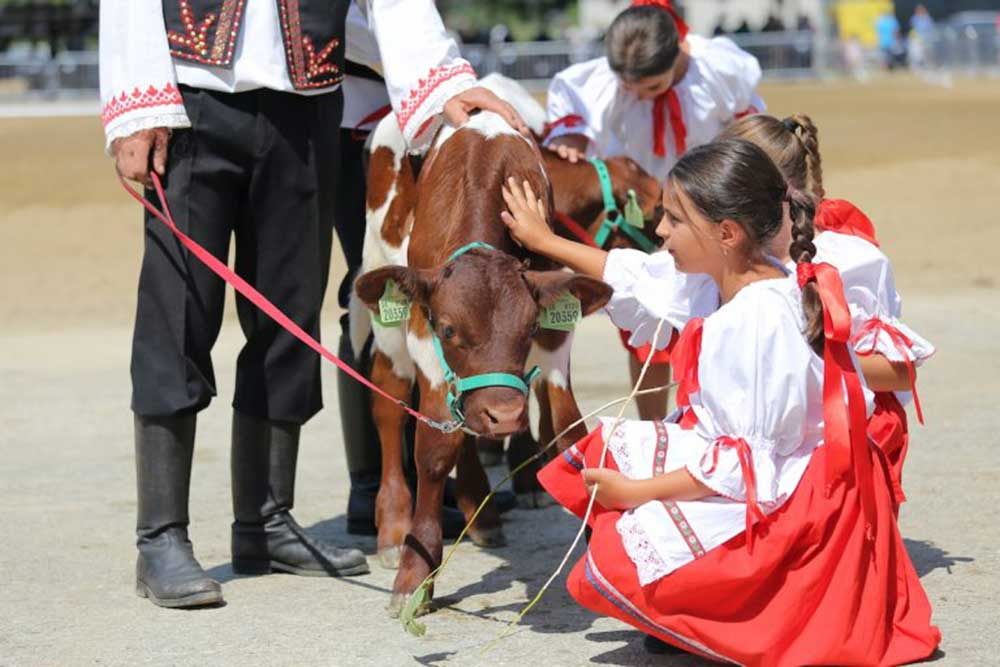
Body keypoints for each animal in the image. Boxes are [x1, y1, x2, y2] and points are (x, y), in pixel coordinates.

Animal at [348, 109, 612, 616]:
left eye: (527, 330)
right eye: (450, 330)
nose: (505, 414)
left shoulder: (554, 336)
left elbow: (569, 431)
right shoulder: (423, 333)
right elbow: (433, 451)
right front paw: (415, 574)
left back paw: (482, 513)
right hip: (384, 310)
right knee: (389, 406)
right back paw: (392, 527)